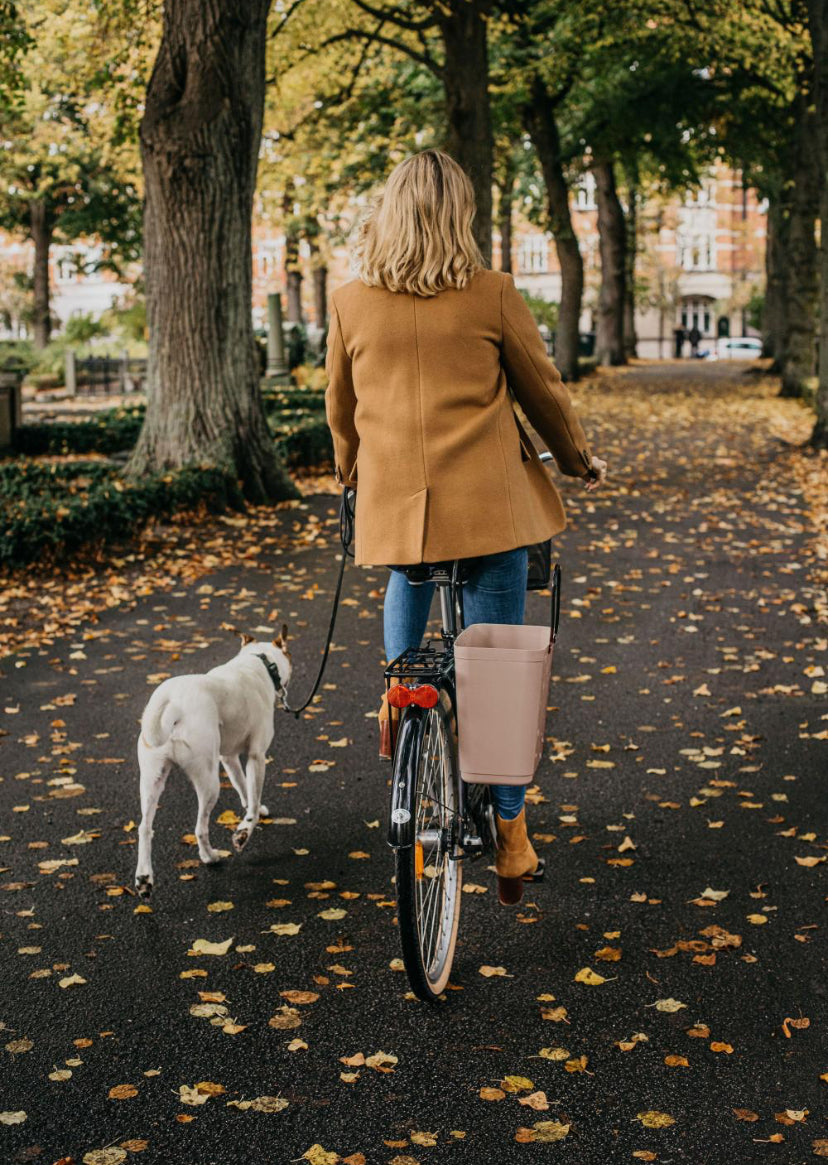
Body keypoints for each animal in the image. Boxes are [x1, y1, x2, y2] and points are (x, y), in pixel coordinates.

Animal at [134, 624, 293, 894]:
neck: (259, 662)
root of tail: (174, 704)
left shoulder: (227, 757)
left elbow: (243, 786)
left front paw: (254, 808)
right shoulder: (257, 756)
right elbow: (252, 801)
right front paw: (244, 832)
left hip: (152, 780)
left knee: (144, 828)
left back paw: (144, 878)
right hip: (209, 782)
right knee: (200, 828)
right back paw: (210, 857)